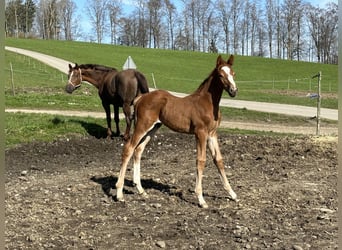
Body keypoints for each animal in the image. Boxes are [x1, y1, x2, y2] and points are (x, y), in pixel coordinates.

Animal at [115, 55, 238, 208]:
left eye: (233, 73)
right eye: (221, 75)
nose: (233, 91)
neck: (208, 103)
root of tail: (140, 98)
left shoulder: (212, 134)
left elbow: (219, 160)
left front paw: (232, 194)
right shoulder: (201, 133)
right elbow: (201, 160)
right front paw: (201, 199)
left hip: (153, 128)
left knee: (138, 150)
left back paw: (141, 190)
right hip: (142, 126)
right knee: (129, 148)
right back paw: (119, 193)